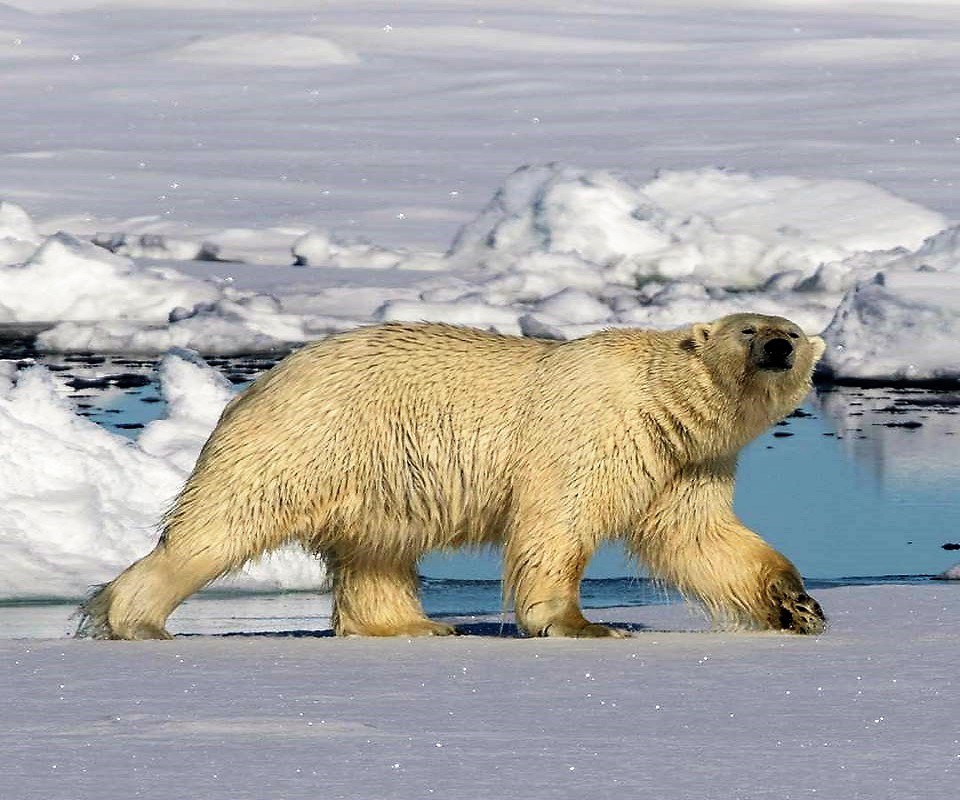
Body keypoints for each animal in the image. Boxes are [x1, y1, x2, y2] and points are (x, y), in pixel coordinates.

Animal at [80, 312, 824, 636]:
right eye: (749, 330)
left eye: (790, 330)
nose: (780, 347)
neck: (656, 399)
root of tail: (258, 384)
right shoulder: (593, 429)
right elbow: (557, 526)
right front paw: (581, 624)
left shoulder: (687, 460)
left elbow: (699, 537)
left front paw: (798, 606)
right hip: (305, 440)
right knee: (220, 526)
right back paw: (137, 619)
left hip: (373, 473)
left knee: (377, 550)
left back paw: (415, 627)